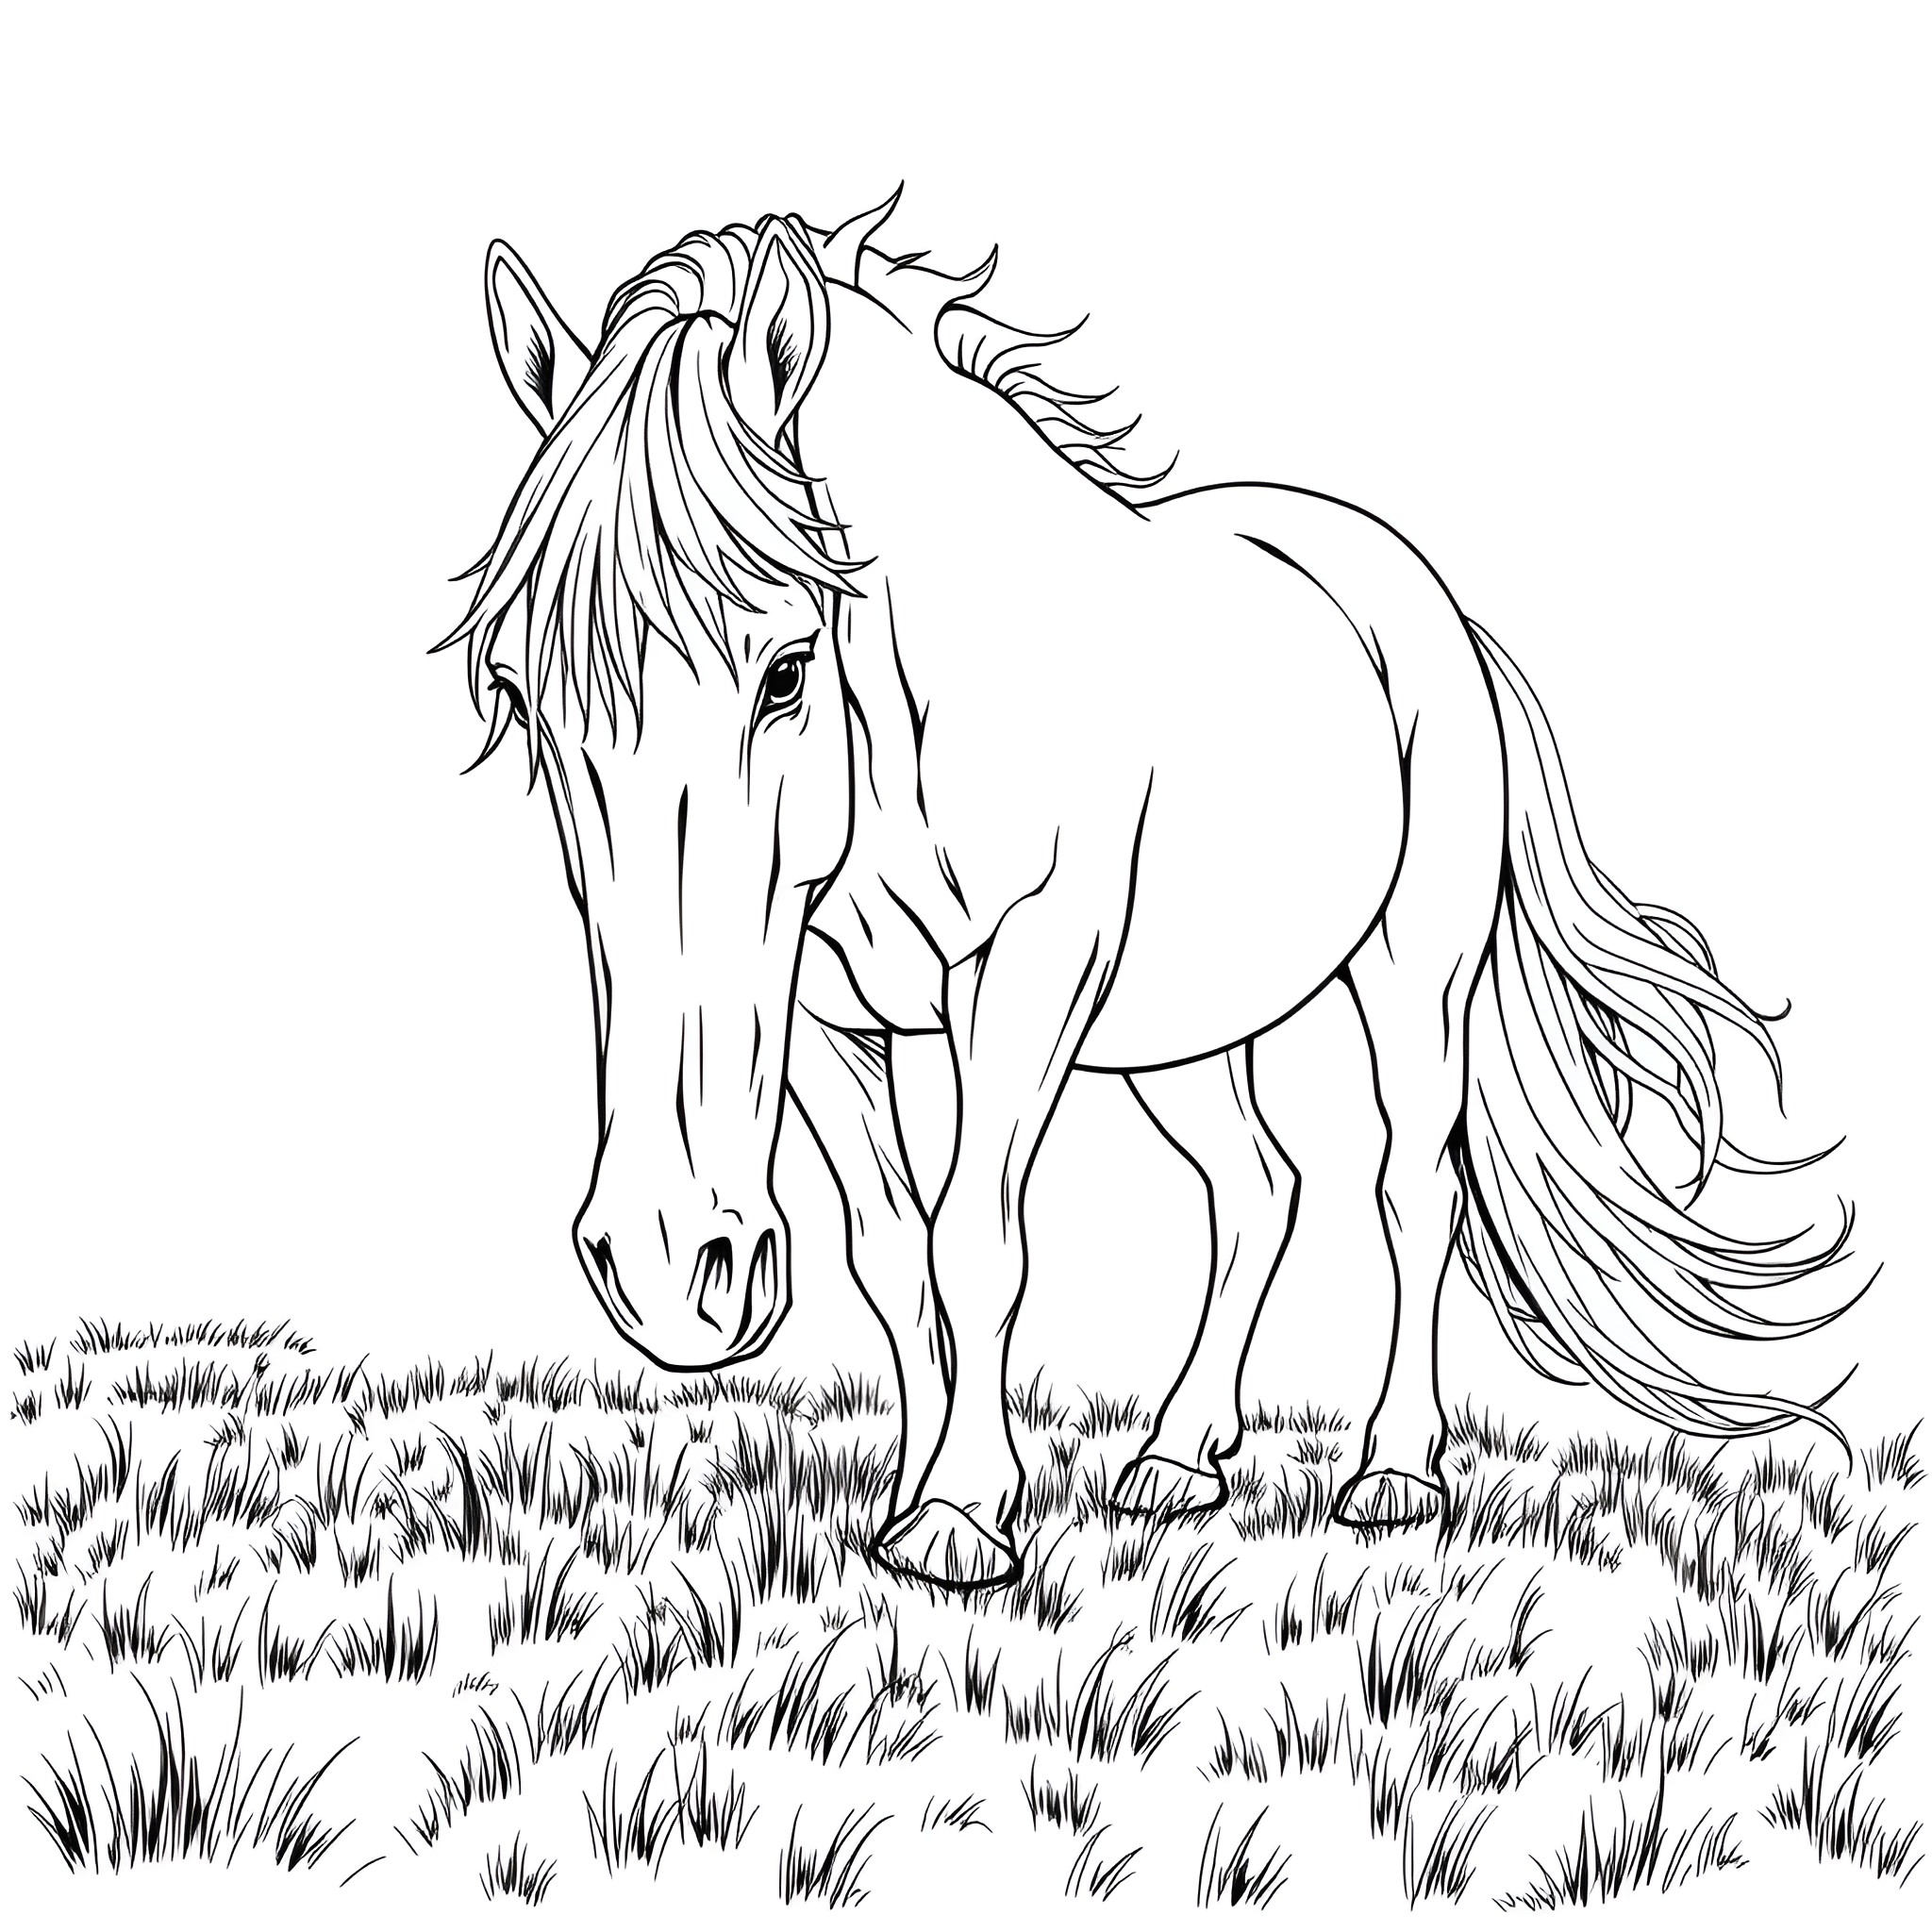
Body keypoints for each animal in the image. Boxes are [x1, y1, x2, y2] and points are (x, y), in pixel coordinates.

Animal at [443, 193, 1860, 1590]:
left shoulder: (1026, 970)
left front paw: (962, 1517)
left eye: (784, 670)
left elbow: (974, 1238)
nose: (667, 1272)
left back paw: (1394, 1470)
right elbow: (892, 1254)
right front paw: (906, 1499)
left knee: (1412, 1189)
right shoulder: (825, 1013)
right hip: (1182, 1024)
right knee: (1257, 1188)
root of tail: (1421, 596)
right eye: (518, 691)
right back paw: (1180, 1455)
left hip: (1412, 976)